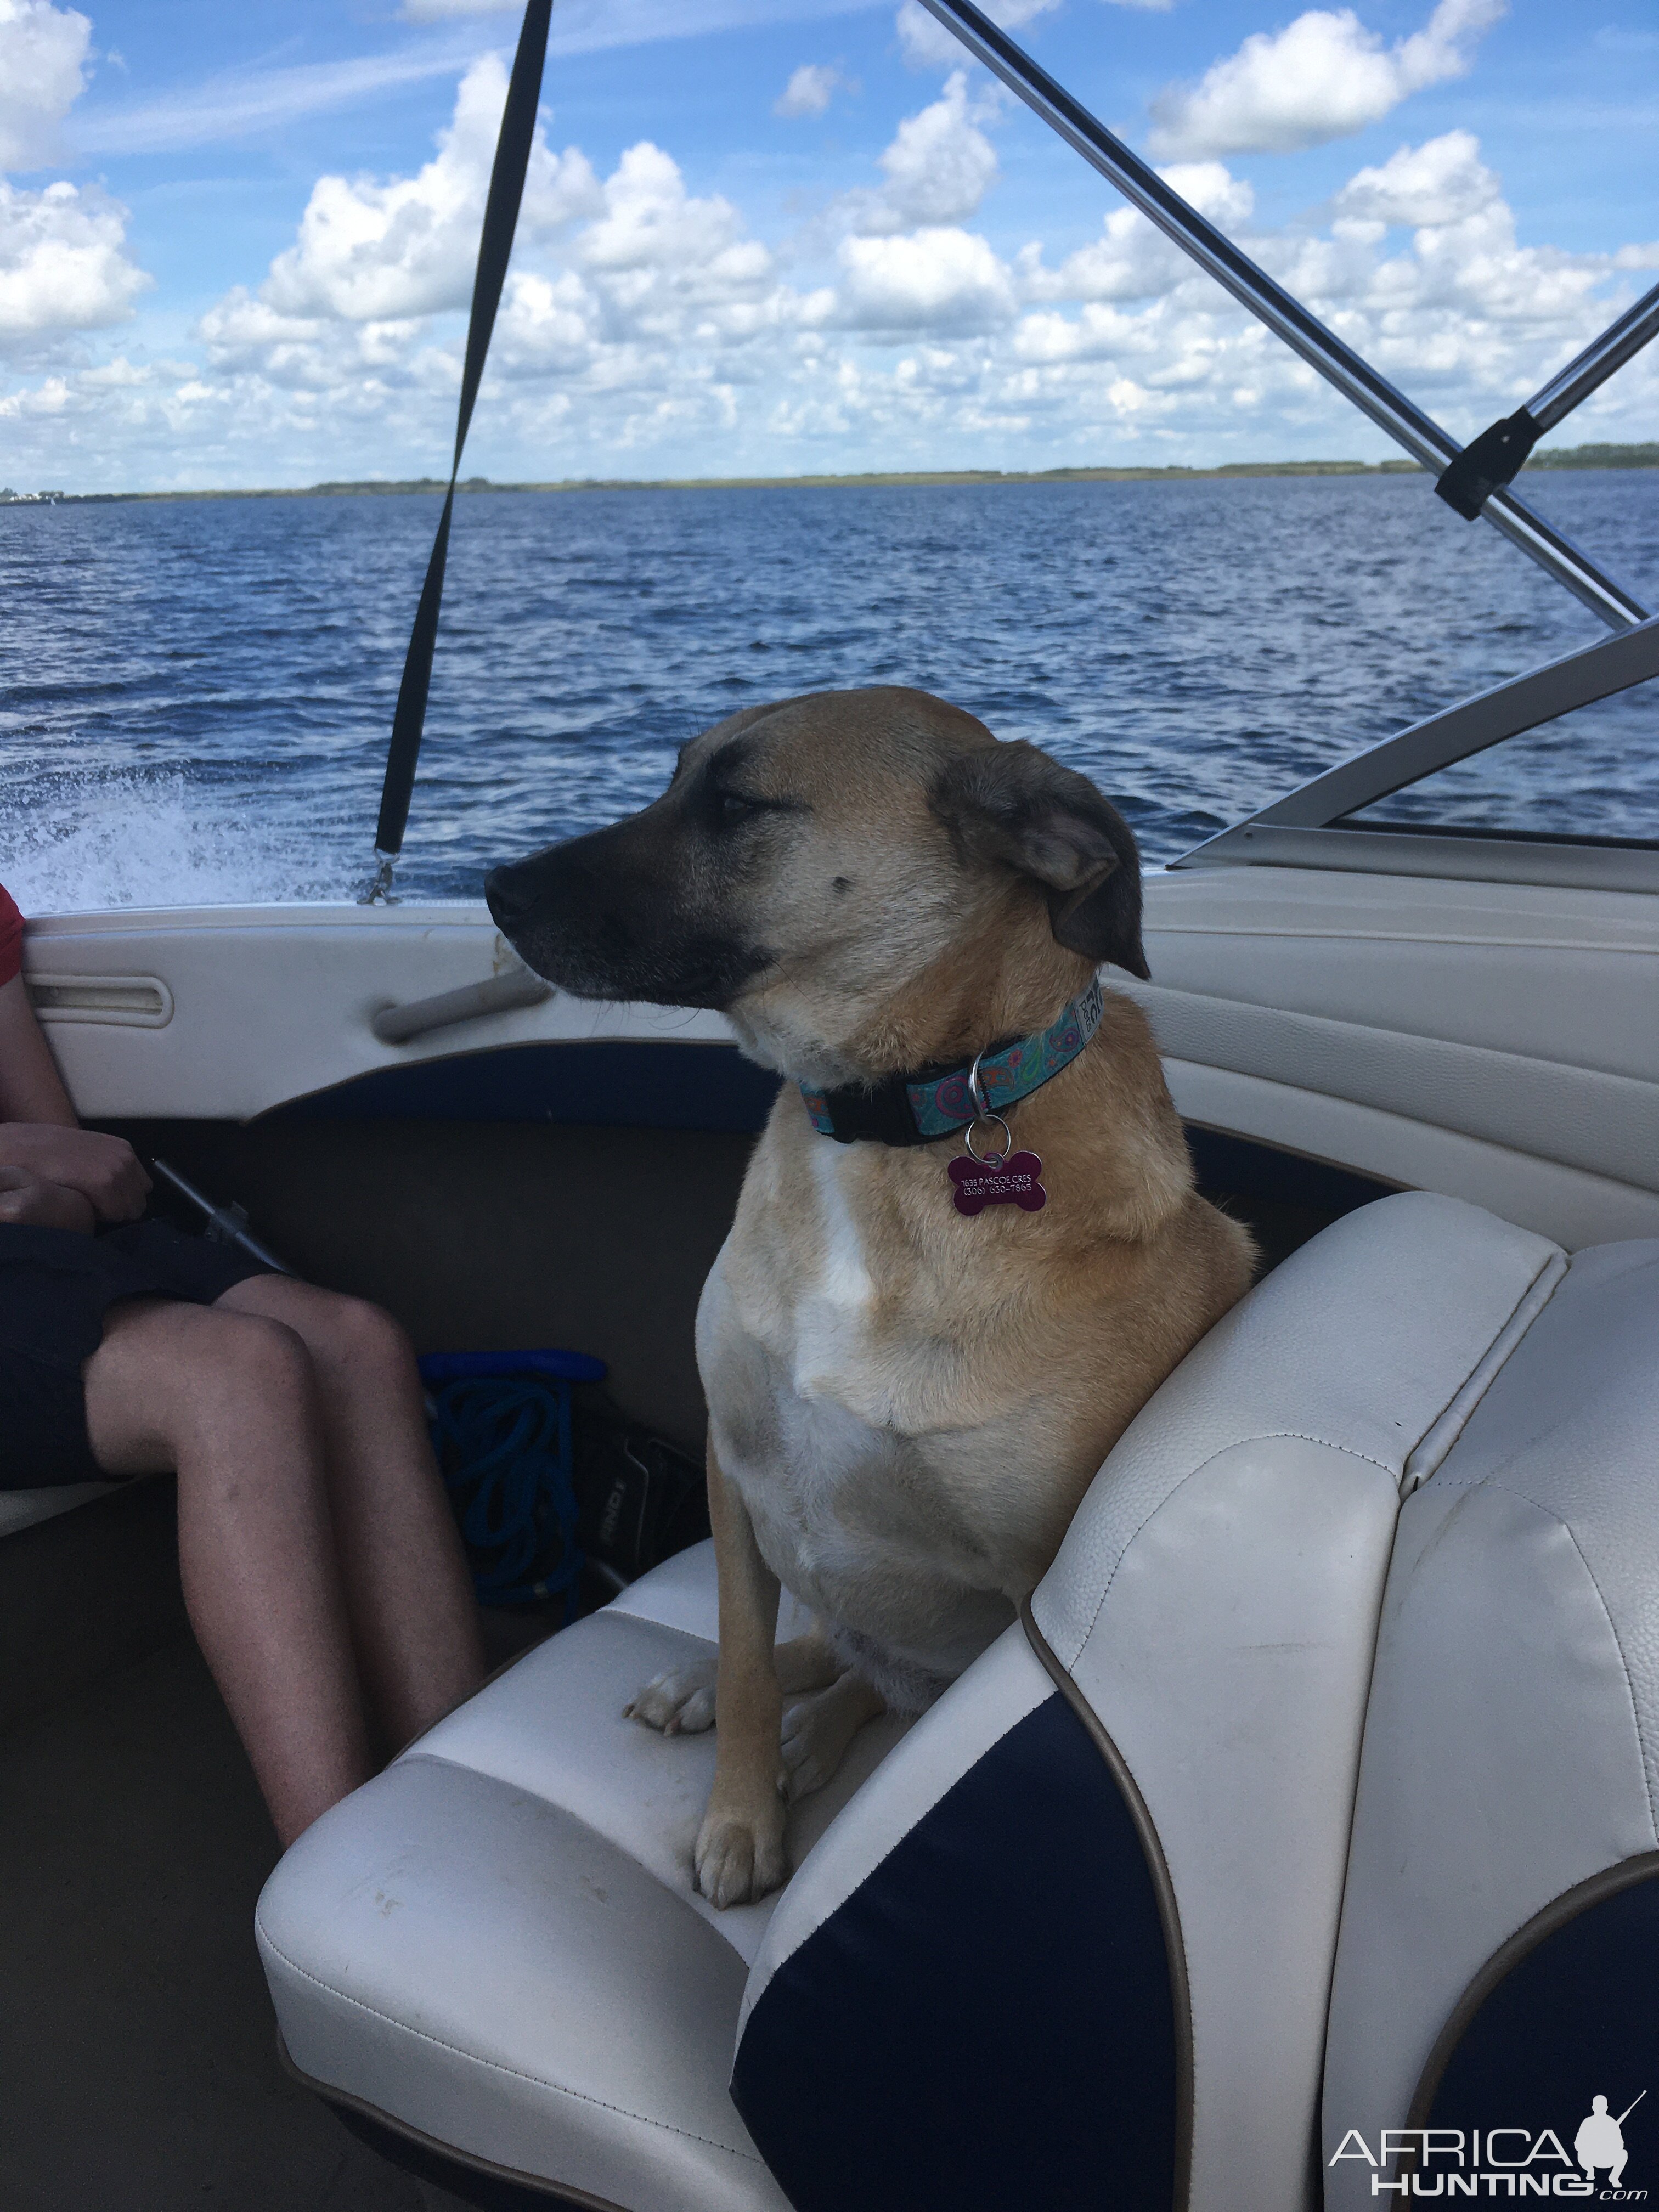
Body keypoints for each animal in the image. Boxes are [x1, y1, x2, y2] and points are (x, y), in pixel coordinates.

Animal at [487, 685, 1256, 1902]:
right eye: (674, 777)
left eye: (737, 804)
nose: (494, 889)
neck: (883, 1131)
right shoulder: (732, 1460)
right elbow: (745, 1660)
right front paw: (739, 1806)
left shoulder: (1031, 1598)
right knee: (815, 1645)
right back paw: (724, 1690)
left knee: (888, 1685)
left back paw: (819, 1731)